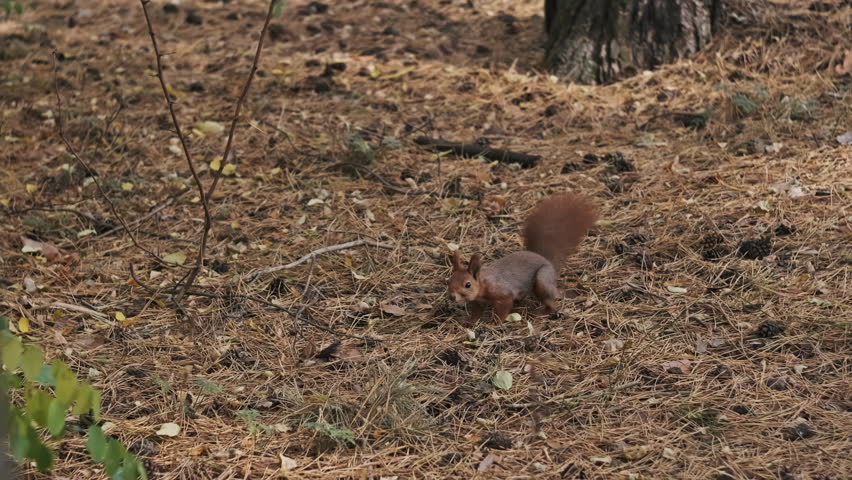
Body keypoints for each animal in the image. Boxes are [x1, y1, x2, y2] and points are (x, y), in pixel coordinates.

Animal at [448, 193, 598, 322]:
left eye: (468, 284)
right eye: (449, 280)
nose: (452, 297)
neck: (482, 284)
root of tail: (548, 262)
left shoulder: (503, 294)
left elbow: (503, 310)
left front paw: (494, 323)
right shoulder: (478, 302)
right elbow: (476, 312)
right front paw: (469, 322)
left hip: (543, 279)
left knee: (551, 302)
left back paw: (541, 312)